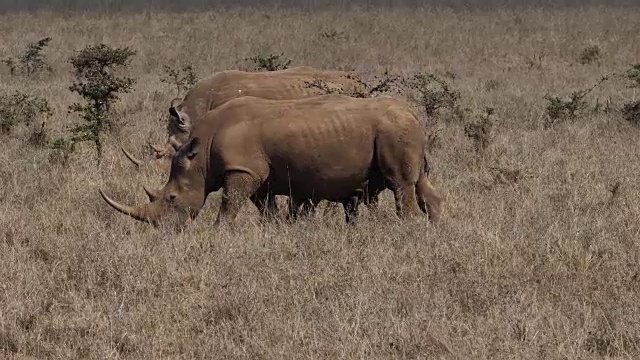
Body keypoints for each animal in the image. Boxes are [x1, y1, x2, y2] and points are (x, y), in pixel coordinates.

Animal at [100, 93, 442, 231]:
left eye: (172, 198)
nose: (165, 230)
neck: (201, 154)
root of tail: (413, 114)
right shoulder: (255, 173)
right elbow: (264, 208)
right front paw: (273, 229)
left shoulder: (242, 169)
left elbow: (229, 204)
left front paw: (219, 232)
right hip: (404, 130)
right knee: (421, 183)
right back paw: (434, 229)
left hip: (394, 131)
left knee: (401, 184)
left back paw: (409, 229)